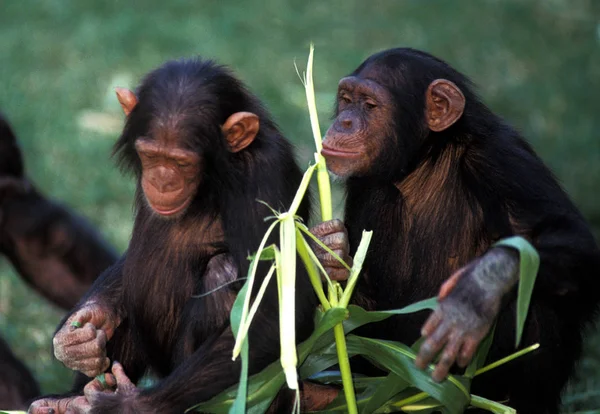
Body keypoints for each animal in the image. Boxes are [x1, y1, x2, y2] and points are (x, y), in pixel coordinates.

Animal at [29, 59, 316, 414]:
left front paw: (126, 406)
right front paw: (79, 335)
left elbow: (276, 307)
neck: (215, 178)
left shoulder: (265, 176)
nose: (163, 180)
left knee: (223, 272)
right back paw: (66, 400)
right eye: (151, 155)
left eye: (182, 162)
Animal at [312, 49, 600, 414]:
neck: (422, 164)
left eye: (369, 105)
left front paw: (476, 292)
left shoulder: (504, 160)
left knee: (538, 299)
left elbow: (571, 239)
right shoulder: (363, 185)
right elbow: (361, 314)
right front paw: (328, 251)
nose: (345, 121)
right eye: (346, 99)